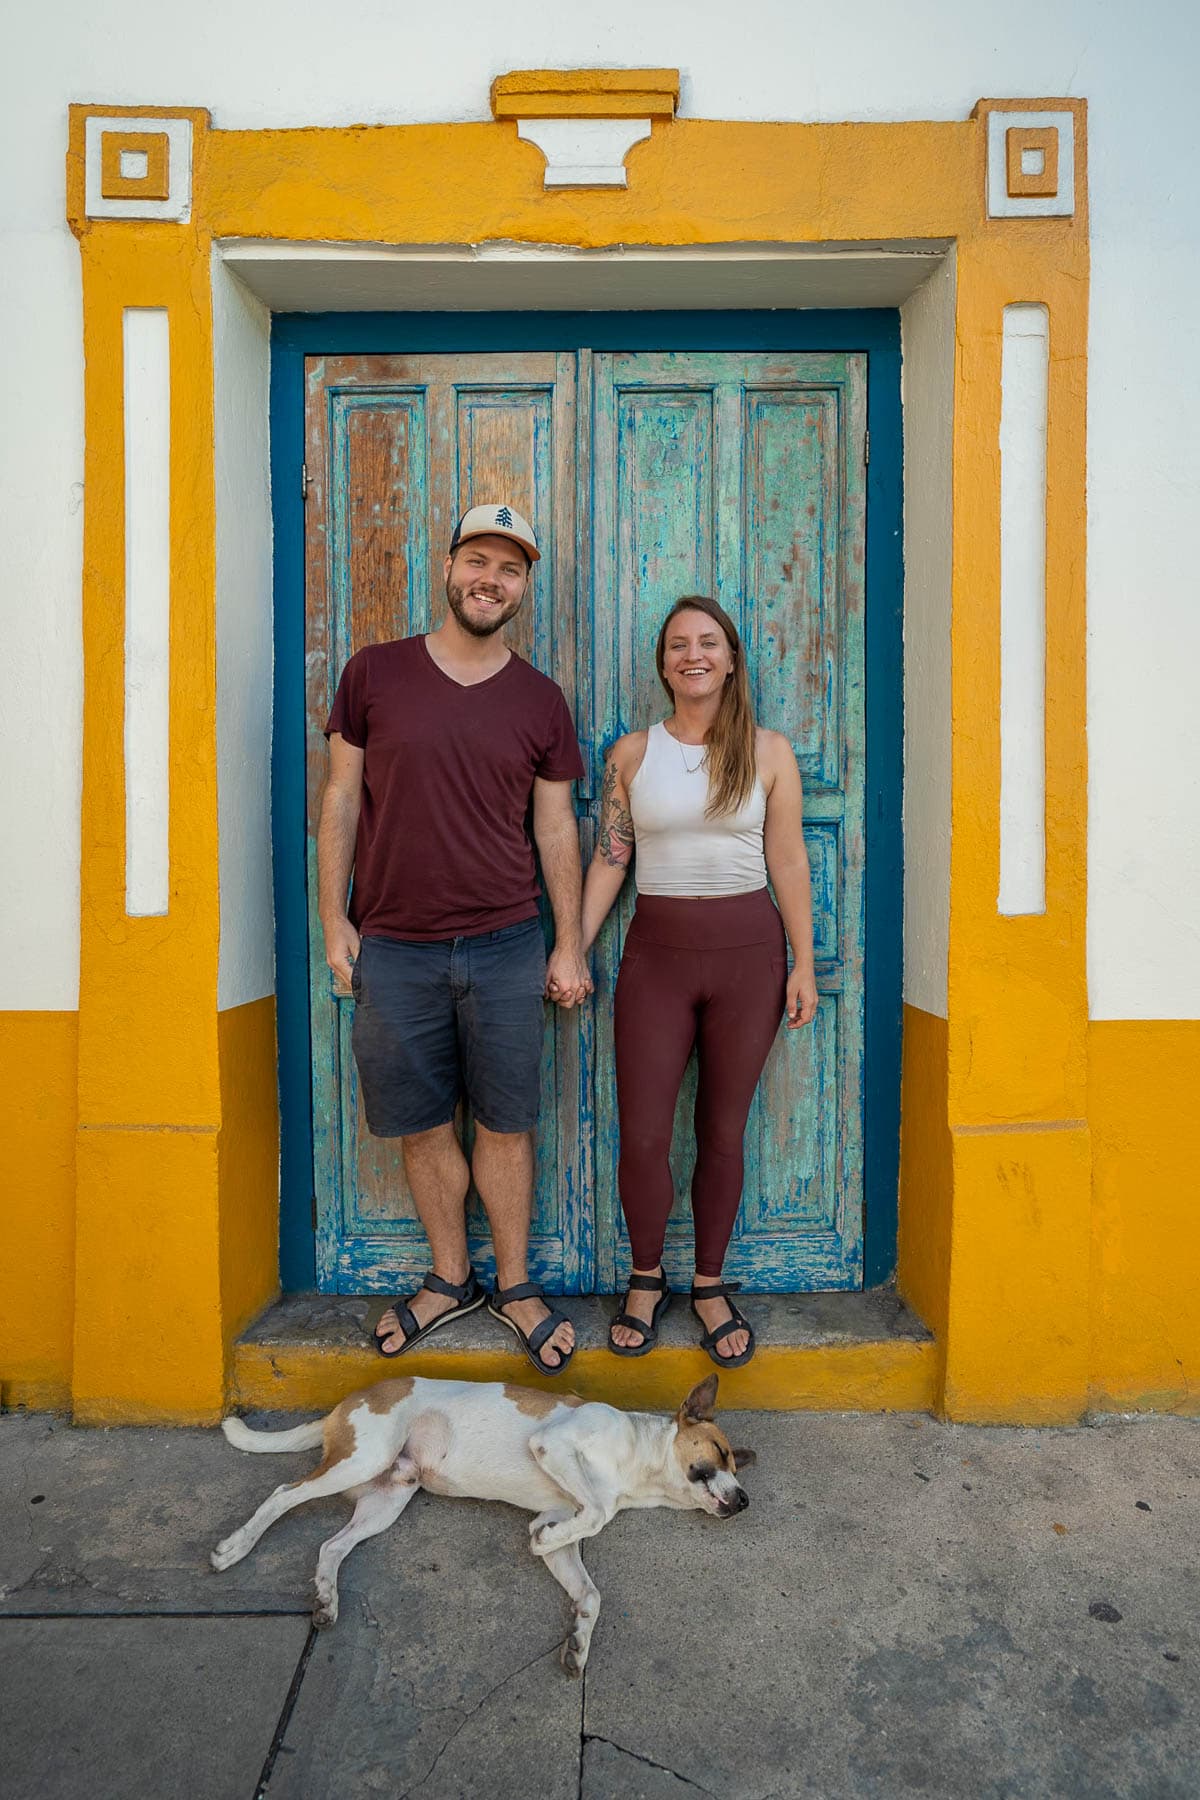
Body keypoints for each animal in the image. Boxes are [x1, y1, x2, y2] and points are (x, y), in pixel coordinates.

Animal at [207, 1375, 752, 1670]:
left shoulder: (561, 1513)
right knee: (283, 1495)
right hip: (363, 1458)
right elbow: (594, 1515)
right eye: (719, 1452)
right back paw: (235, 1547)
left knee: (331, 1547)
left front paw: (578, 1639)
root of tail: (345, 1403)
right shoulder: (552, 1446)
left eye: (734, 1462)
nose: (745, 1500)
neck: (638, 1463)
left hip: (388, 1496)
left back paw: (325, 1596)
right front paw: (543, 1543)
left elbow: (589, 1587)